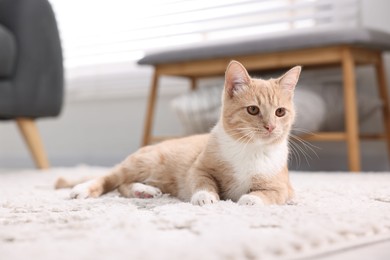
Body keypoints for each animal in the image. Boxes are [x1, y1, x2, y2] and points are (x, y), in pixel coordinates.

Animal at [58, 60, 302, 205]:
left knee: (122, 185)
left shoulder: (283, 186)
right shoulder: (198, 167)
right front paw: (205, 195)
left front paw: (252, 199)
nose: (270, 127)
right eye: (253, 110)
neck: (250, 149)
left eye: (280, 112)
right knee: (112, 178)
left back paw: (143, 190)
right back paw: (85, 188)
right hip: (146, 161)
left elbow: (272, 193)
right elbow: (203, 180)